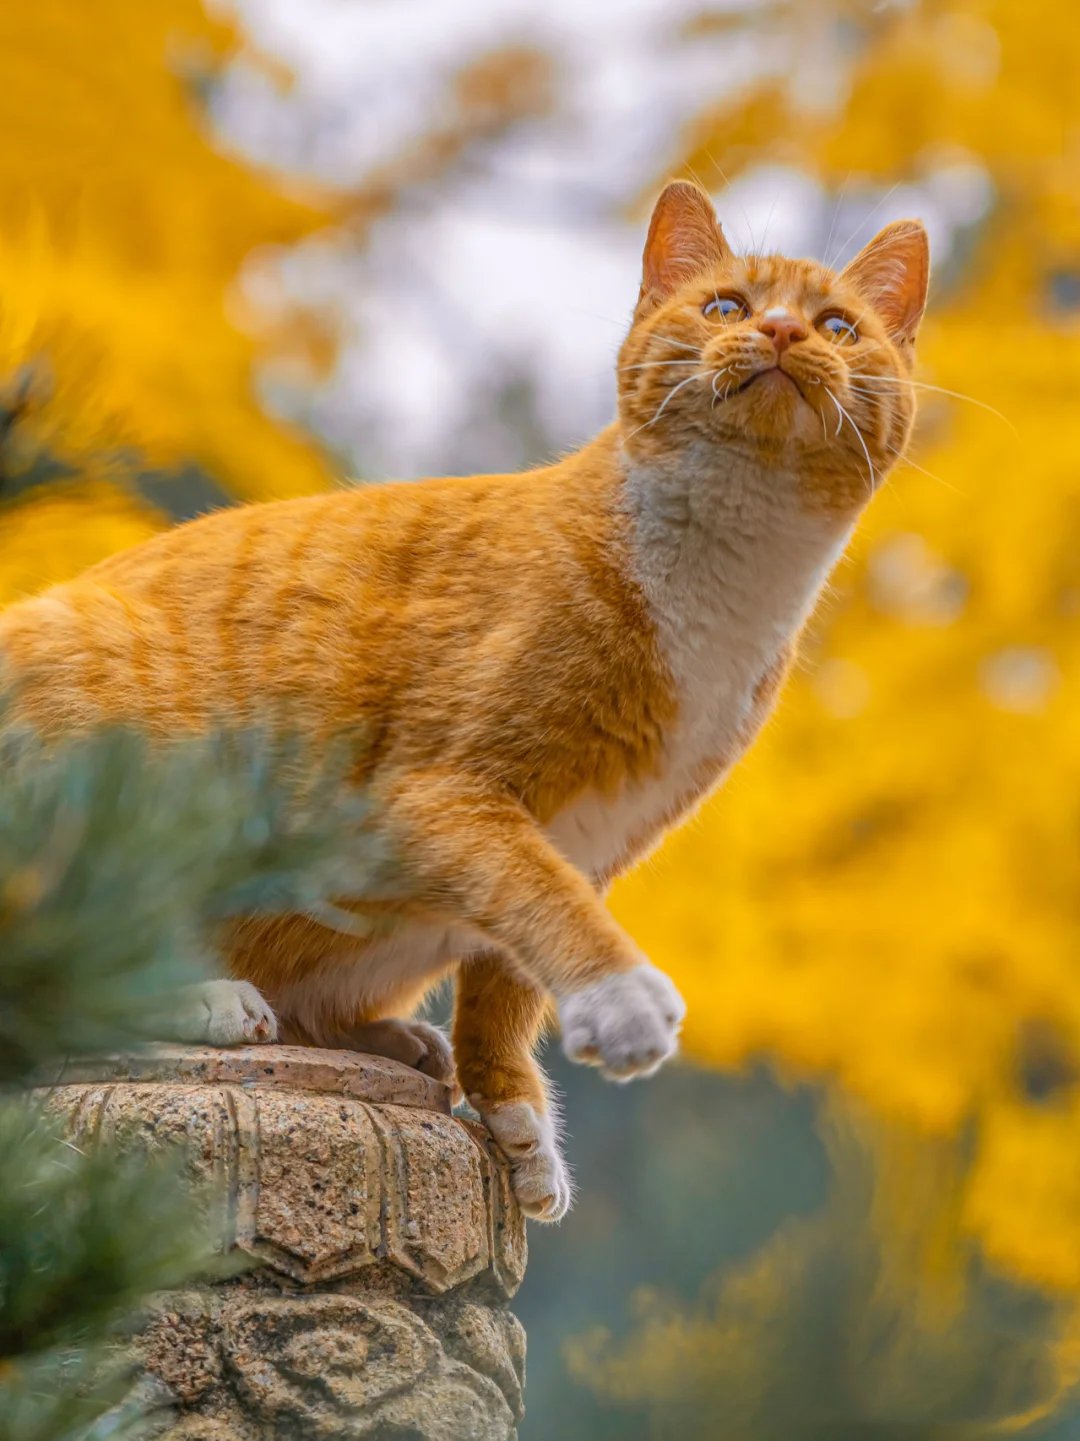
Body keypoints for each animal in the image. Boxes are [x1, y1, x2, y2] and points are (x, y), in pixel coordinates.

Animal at [0, 180, 928, 1216]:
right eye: (727, 305)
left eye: (838, 325)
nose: (777, 328)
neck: (721, 587)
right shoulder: (447, 795)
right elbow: (539, 900)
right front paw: (623, 998)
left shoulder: (586, 839)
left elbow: (509, 976)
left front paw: (516, 1115)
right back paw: (204, 995)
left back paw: (390, 1035)